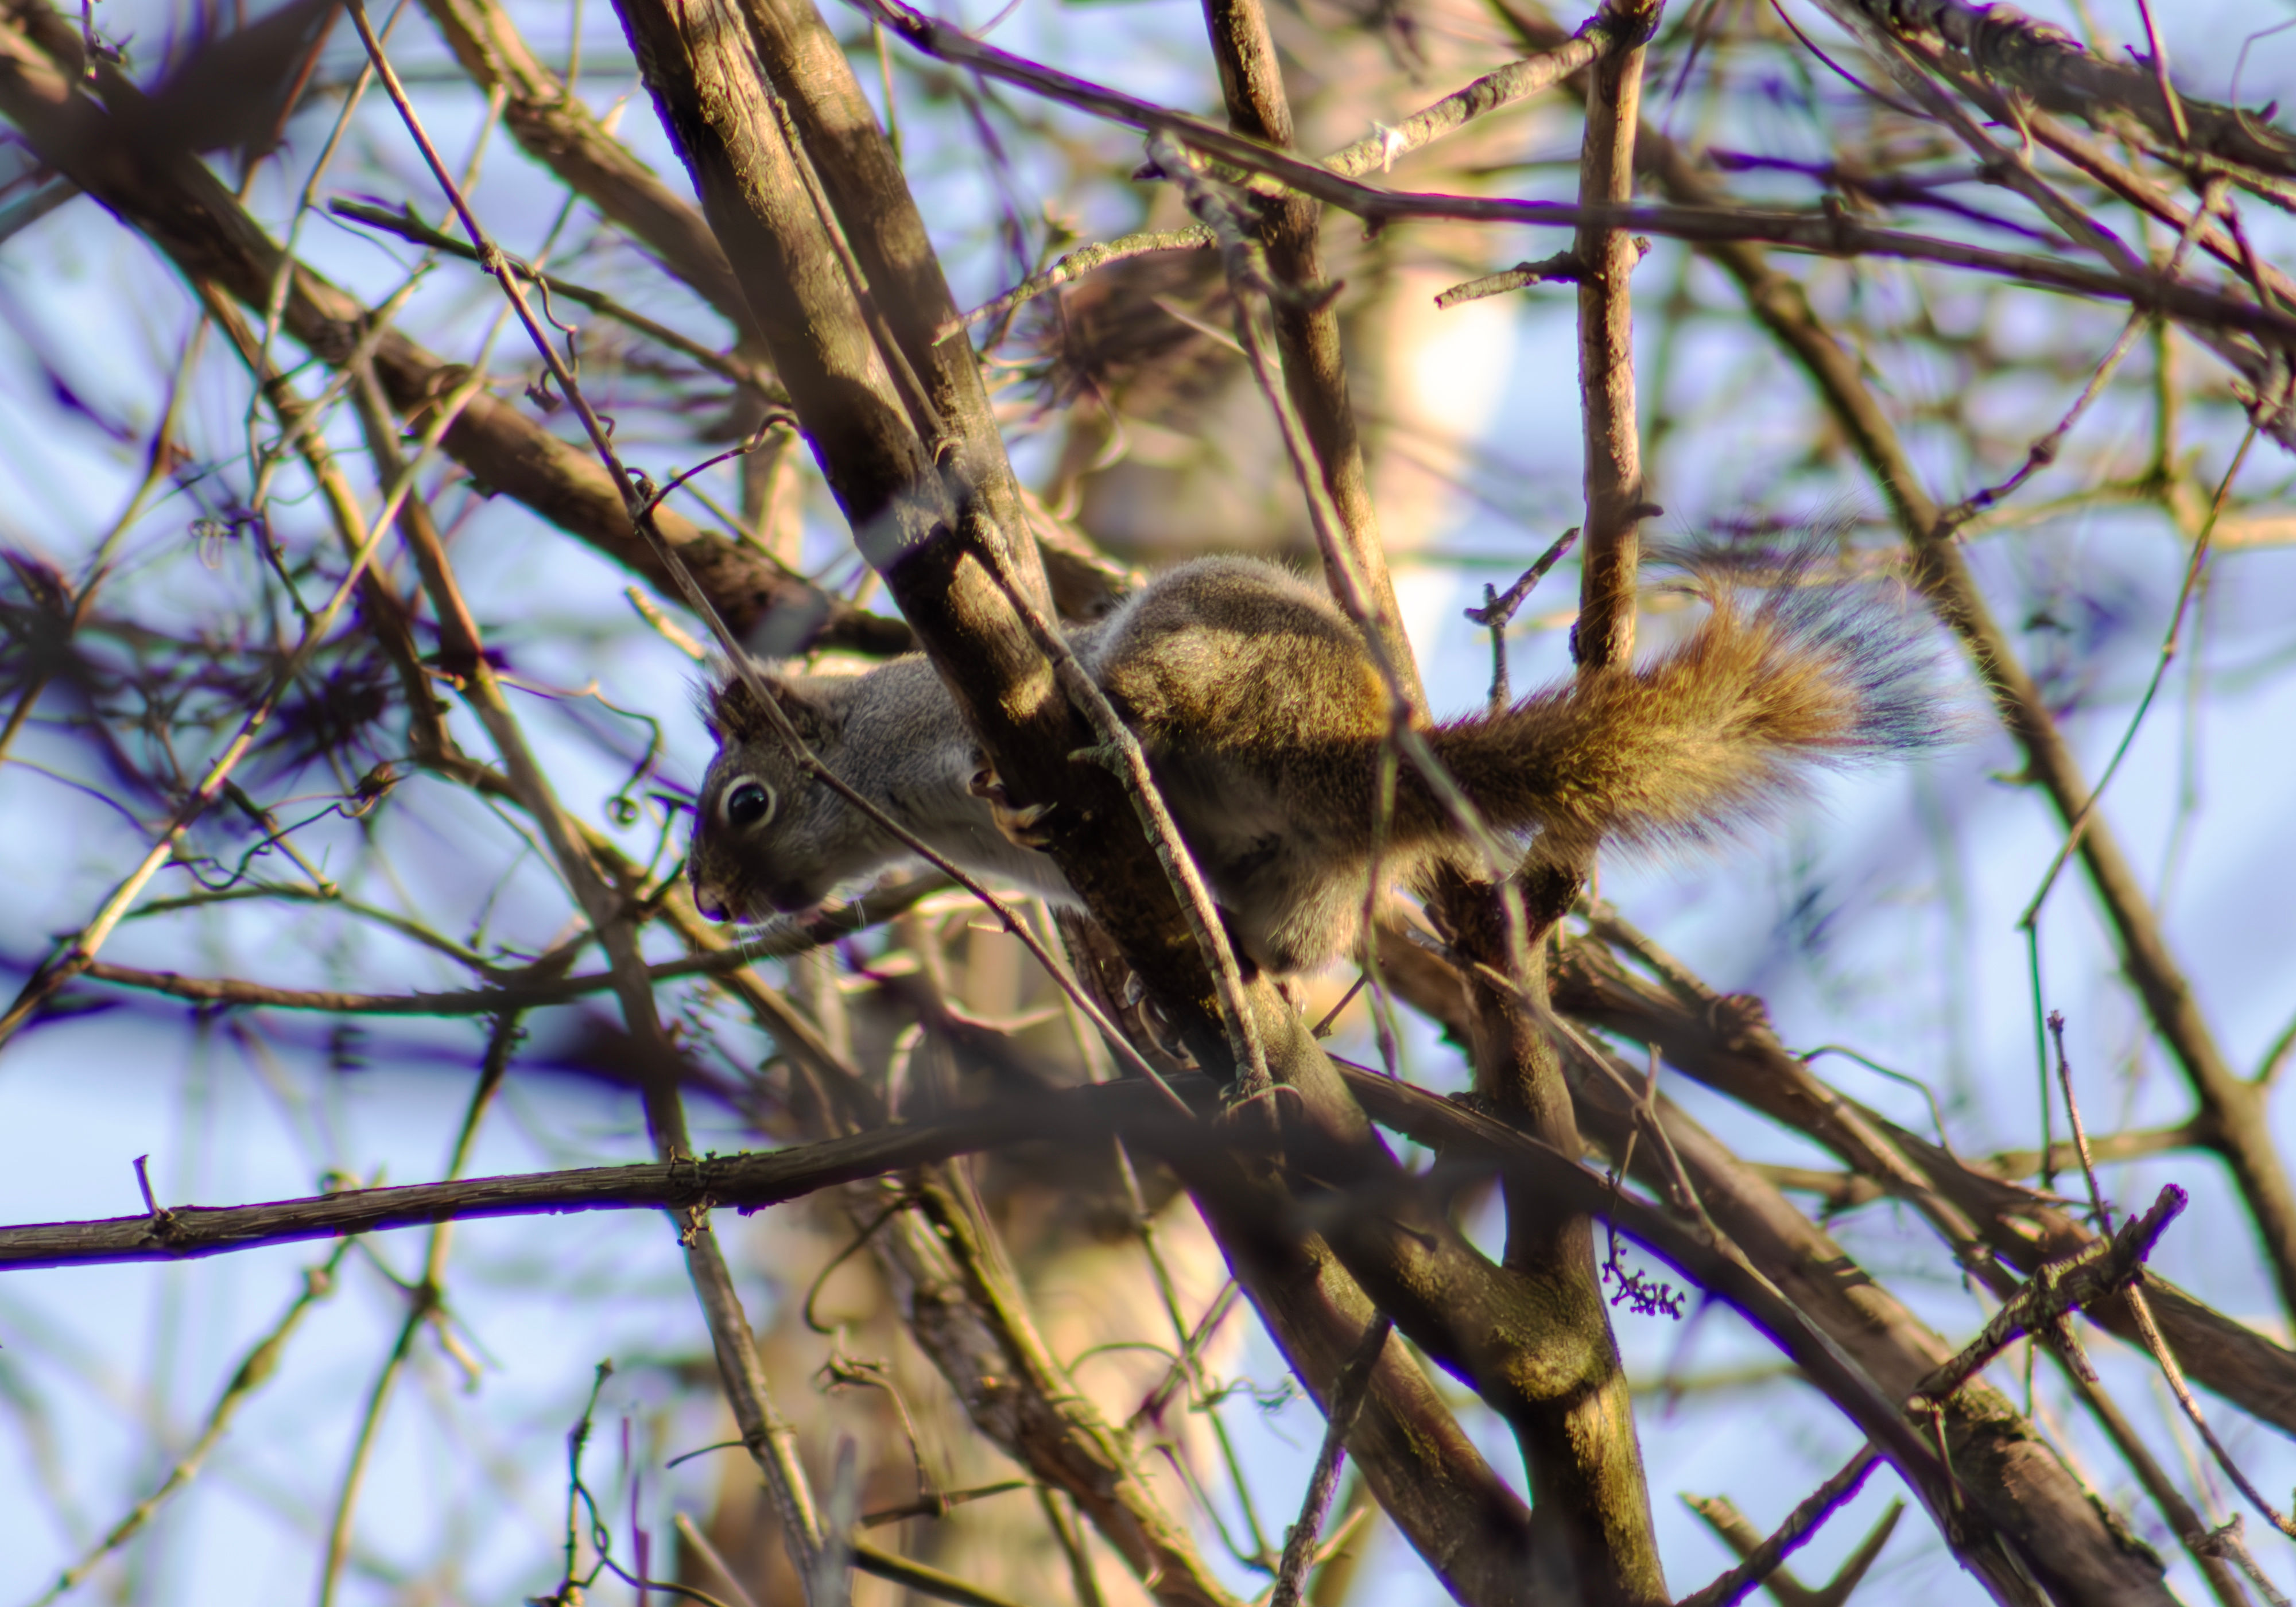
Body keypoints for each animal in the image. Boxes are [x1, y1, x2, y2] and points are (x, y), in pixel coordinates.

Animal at [687, 547, 1946, 975]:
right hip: (1315, 880)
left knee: (1158, 691)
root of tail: (1345, 749)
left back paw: (1121, 722)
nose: (706, 901)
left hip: (1203, 639)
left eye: (744, 802)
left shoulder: (940, 719)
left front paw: (1010, 796)